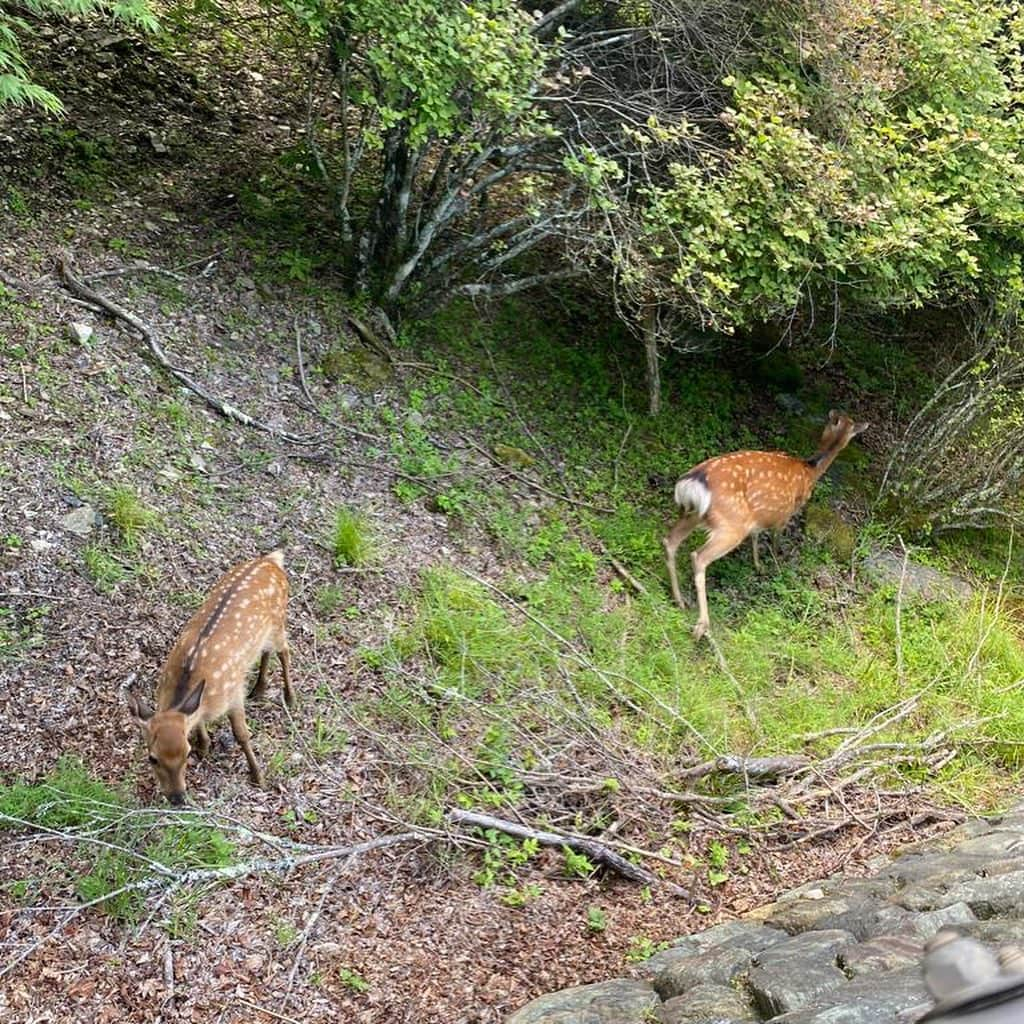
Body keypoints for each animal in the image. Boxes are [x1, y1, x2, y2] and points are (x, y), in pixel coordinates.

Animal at [130, 548, 294, 802]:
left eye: (186, 754)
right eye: (152, 758)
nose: (178, 798)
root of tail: (271, 560)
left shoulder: (233, 694)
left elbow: (242, 735)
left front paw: (258, 776)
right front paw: (205, 746)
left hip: (279, 621)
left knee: (285, 651)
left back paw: (290, 697)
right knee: (266, 652)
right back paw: (259, 689)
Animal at [663, 409, 872, 638]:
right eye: (853, 431)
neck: (810, 470)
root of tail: (693, 482)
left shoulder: (757, 515)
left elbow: (756, 535)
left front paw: (758, 565)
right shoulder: (786, 512)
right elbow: (774, 538)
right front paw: (776, 562)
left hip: (692, 514)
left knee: (670, 541)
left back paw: (679, 599)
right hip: (731, 524)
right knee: (698, 557)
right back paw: (702, 625)